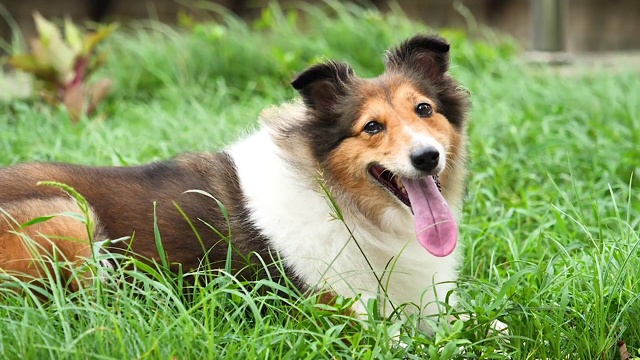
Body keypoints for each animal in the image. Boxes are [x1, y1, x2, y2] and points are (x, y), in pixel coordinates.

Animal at [0, 34, 470, 320]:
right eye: (372, 126)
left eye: (424, 109)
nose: (426, 158)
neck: (341, 203)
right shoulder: (342, 314)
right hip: (67, 215)